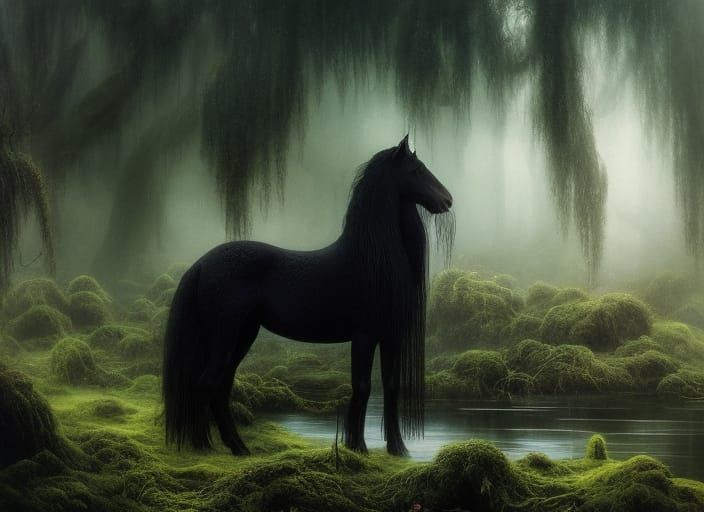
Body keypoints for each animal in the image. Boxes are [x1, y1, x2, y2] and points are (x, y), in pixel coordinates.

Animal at [162, 135, 454, 457]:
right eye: (416, 170)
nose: (448, 200)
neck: (369, 260)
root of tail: (202, 264)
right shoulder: (364, 336)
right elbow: (362, 386)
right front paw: (357, 446)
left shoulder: (391, 336)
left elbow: (390, 386)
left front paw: (398, 449)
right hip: (224, 335)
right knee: (208, 383)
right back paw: (221, 446)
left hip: (243, 334)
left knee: (220, 386)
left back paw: (224, 446)